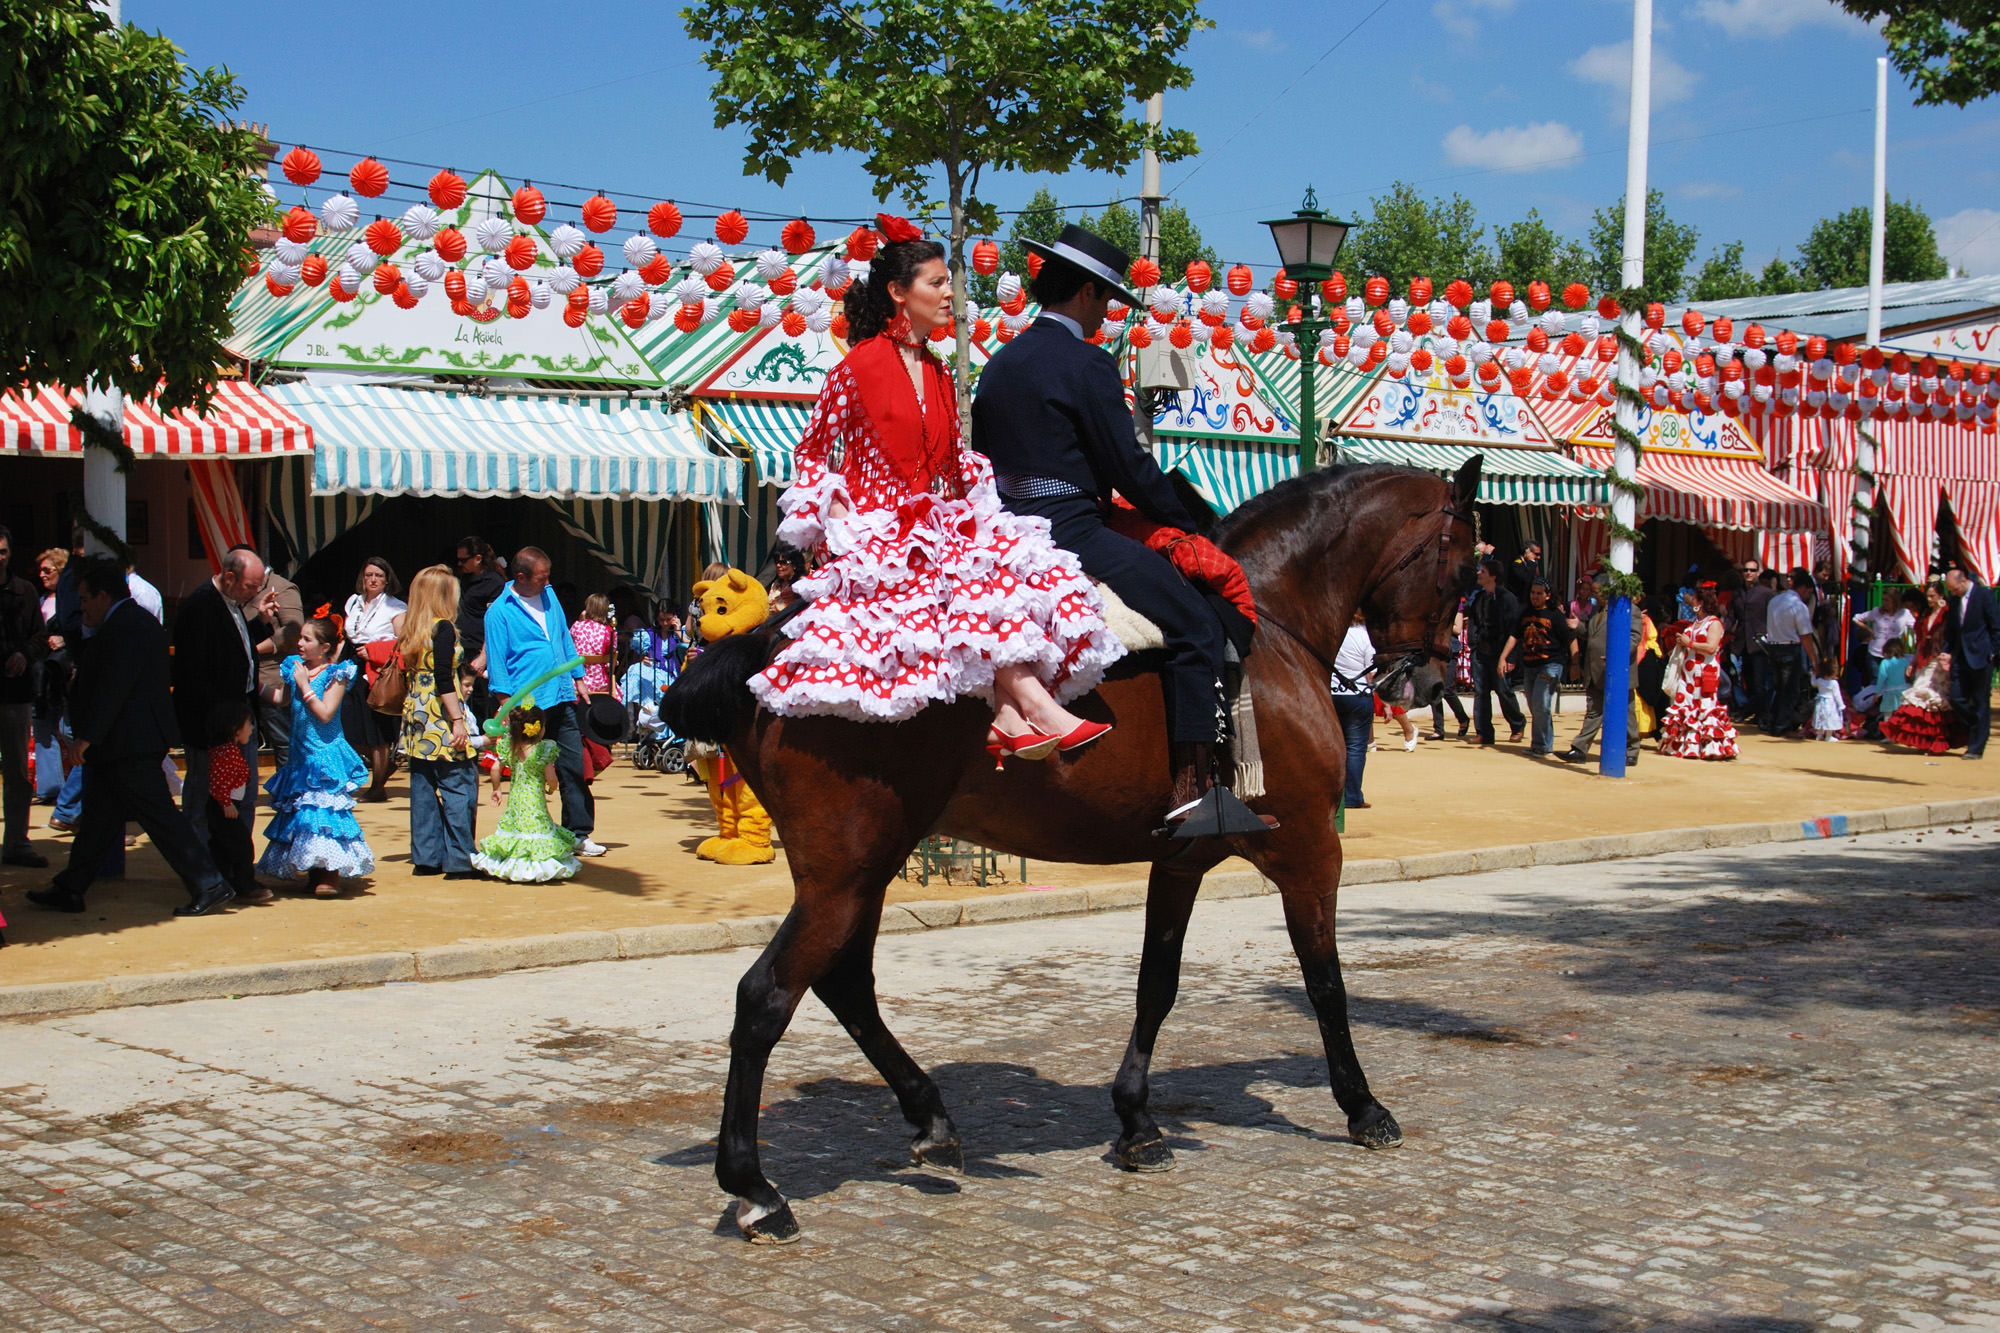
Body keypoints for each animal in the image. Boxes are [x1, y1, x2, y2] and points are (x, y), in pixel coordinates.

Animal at [672, 454, 1488, 1232]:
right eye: (1463, 568)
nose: (1431, 680)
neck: (1271, 629)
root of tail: (764, 645)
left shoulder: (1183, 857)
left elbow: (1157, 983)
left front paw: (1137, 1121)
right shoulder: (1311, 848)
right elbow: (1326, 983)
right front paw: (1363, 1106)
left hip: (863, 870)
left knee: (845, 987)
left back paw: (930, 1120)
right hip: (847, 873)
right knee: (767, 997)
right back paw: (755, 1188)